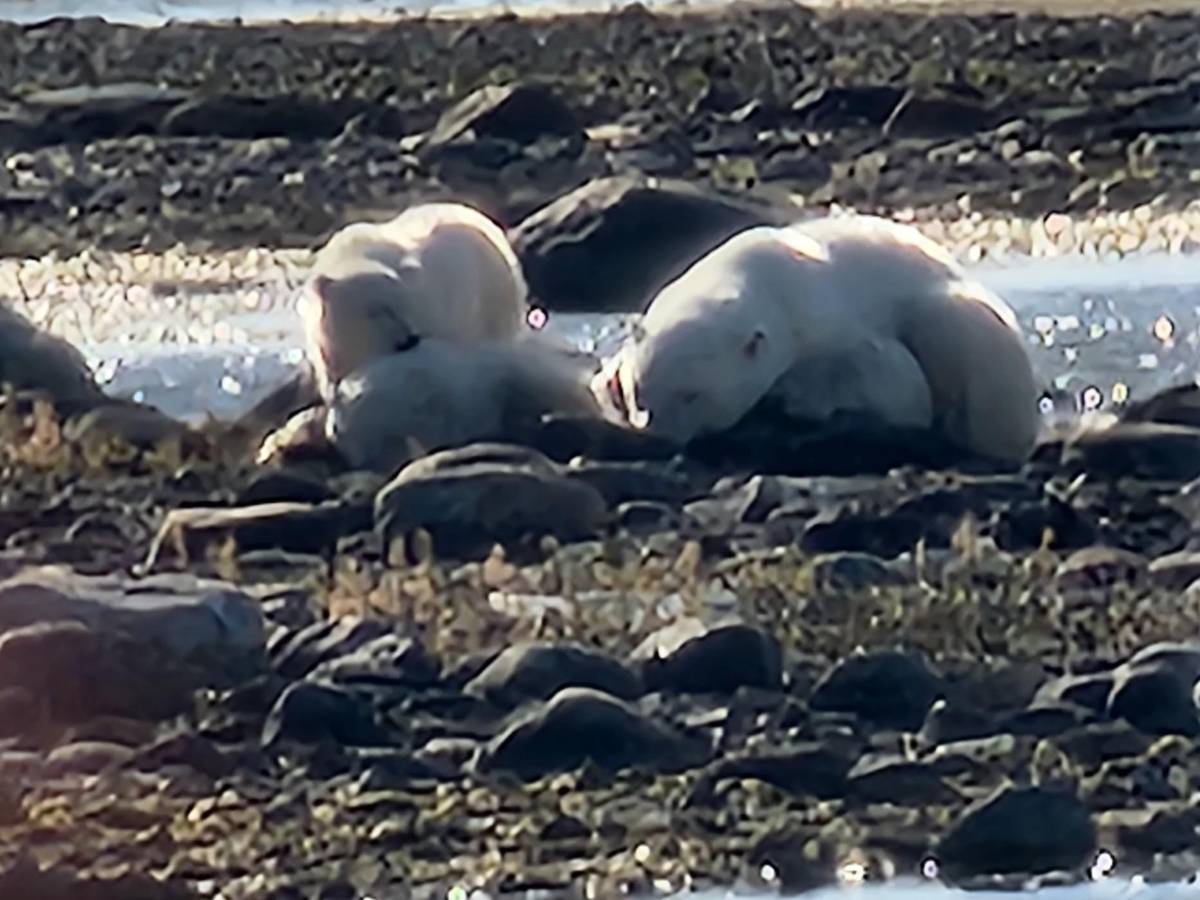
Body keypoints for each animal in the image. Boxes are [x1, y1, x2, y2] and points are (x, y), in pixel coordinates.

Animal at [592, 213, 1039, 465]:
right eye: (638, 390)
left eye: (692, 395)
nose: (657, 437)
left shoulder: (836, 323)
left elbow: (893, 386)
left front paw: (795, 399)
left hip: (959, 317)